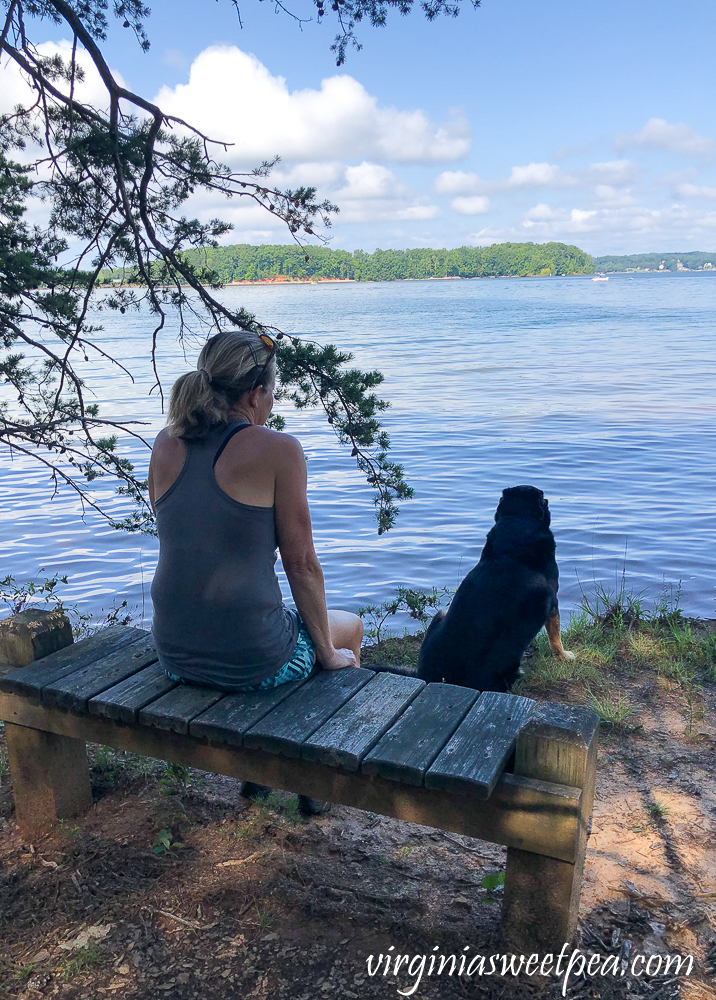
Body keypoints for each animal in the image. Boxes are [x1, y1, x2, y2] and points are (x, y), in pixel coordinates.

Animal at [416, 486, 572, 692]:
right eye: (544, 500)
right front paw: (564, 656)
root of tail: (428, 677)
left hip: (440, 615)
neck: (517, 522)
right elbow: (555, 636)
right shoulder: (553, 602)